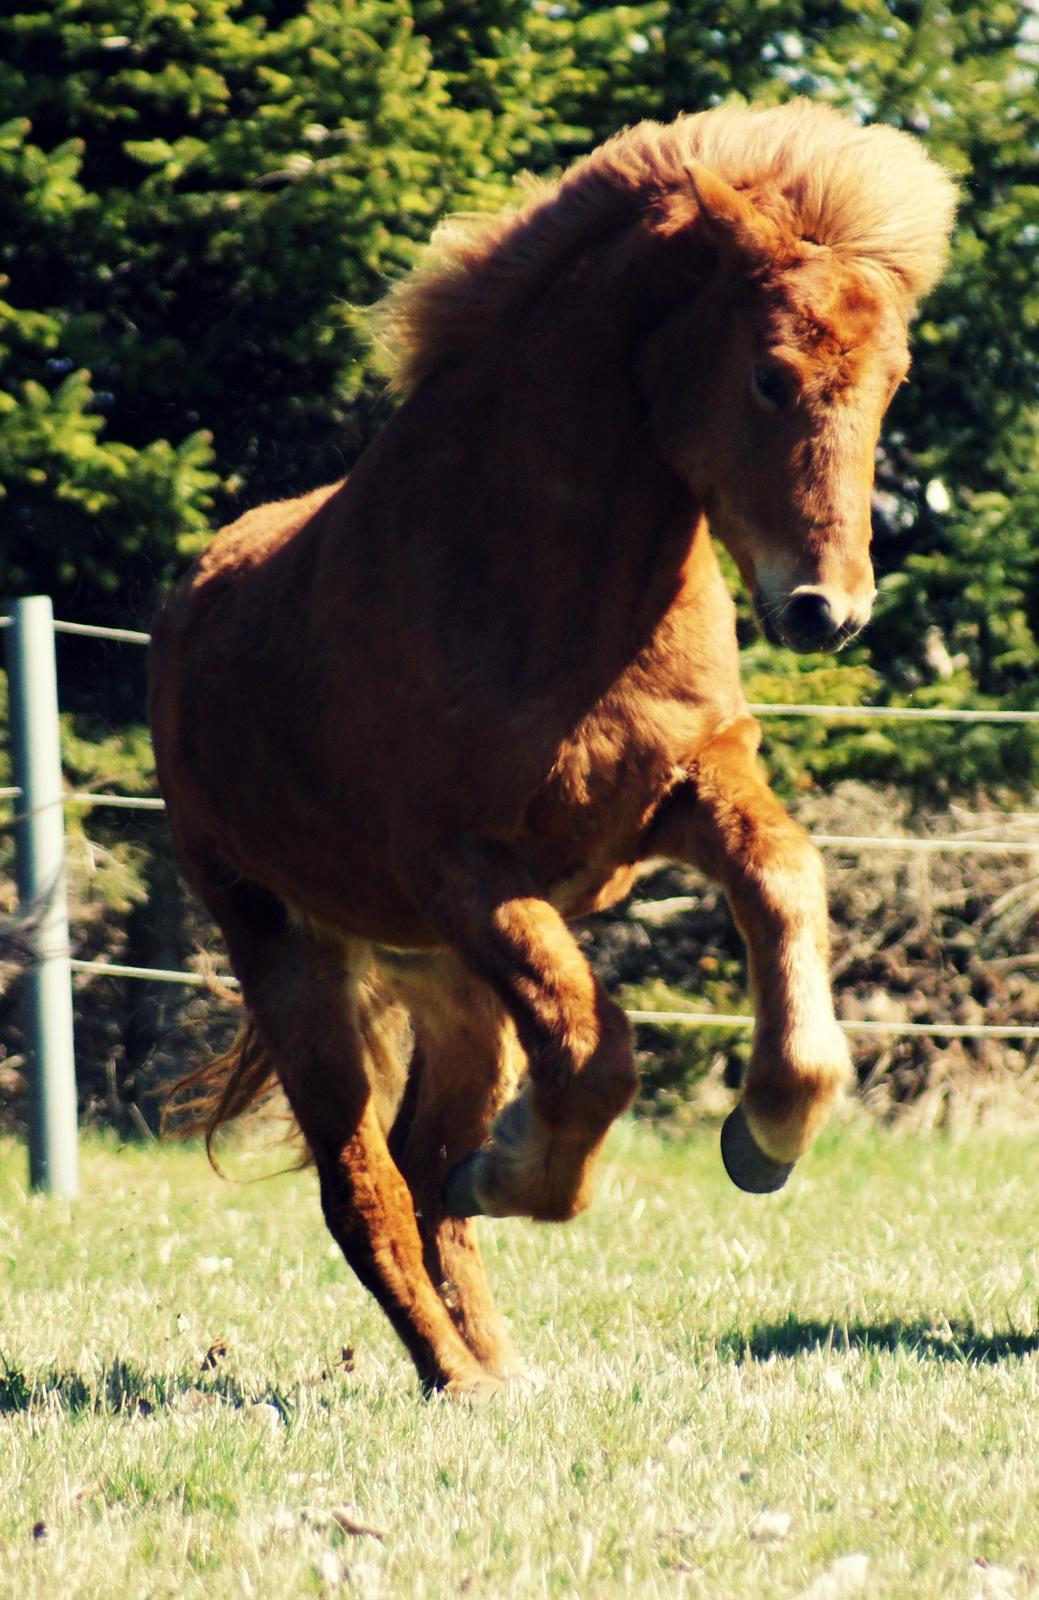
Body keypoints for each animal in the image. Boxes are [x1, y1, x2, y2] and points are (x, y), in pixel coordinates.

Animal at [149, 103, 954, 1401]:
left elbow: (784, 883)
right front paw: (529, 1171)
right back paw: (456, 1374)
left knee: (423, 1168)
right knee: (366, 1187)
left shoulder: (683, 790)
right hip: (291, 954)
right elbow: (591, 1052)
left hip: (449, 989)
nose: (827, 610)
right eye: (771, 376)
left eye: (890, 384)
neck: (537, 586)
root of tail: (184, 612)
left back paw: (495, 1356)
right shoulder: (467, 872)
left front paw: (767, 1129)